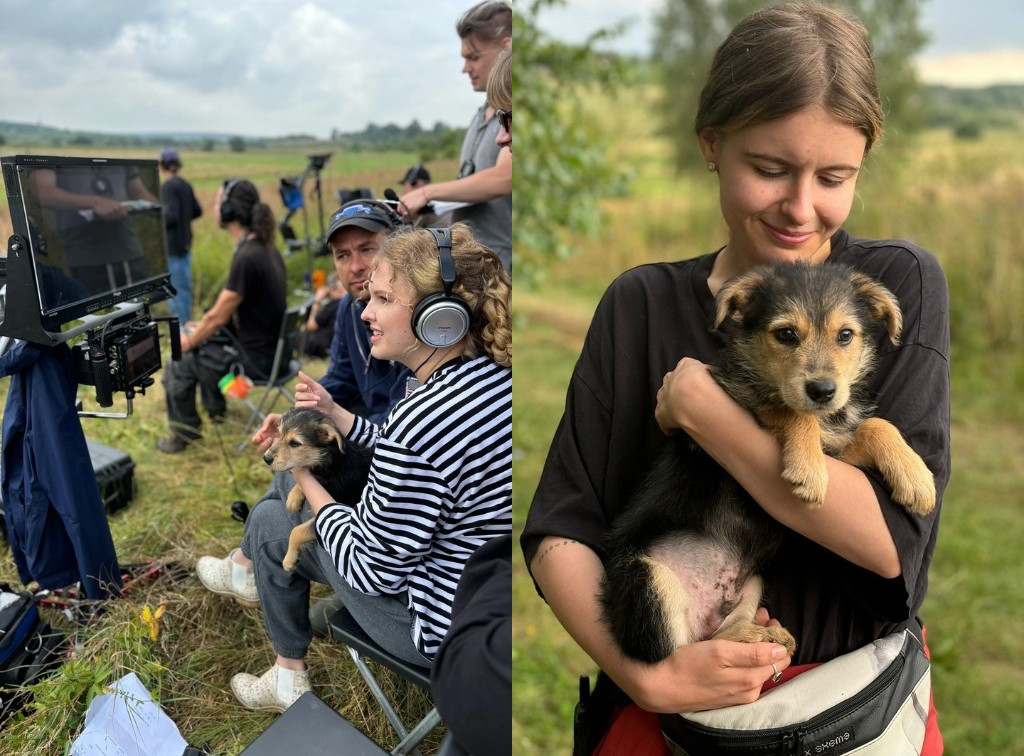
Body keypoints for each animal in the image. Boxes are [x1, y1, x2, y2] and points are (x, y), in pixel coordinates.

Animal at [264, 409, 372, 569]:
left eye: (294, 443)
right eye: (278, 434)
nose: (266, 458)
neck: (333, 463)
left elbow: (298, 530)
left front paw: (290, 558)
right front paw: (294, 497)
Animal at [598, 262, 937, 663]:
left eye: (845, 335)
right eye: (786, 334)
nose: (823, 391)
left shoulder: (838, 446)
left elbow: (874, 425)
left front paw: (916, 477)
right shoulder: (737, 400)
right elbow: (792, 411)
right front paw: (808, 470)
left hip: (753, 583)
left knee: (714, 636)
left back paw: (759, 635)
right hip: (646, 576)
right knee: (676, 653)